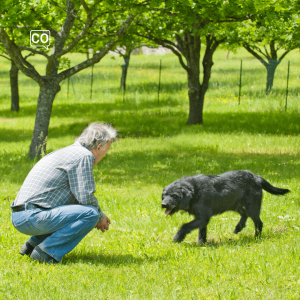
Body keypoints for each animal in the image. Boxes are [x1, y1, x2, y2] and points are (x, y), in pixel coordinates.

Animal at [162, 171, 290, 244]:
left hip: (252, 207)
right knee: (244, 215)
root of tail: (256, 177)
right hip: (235, 205)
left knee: (258, 222)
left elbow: (185, 226)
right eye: (164, 195)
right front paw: (201, 243)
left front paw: (178, 237)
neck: (194, 190)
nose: (163, 204)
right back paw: (238, 227)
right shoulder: (201, 218)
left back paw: (256, 237)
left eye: (174, 195)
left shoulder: (202, 217)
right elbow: (202, 231)